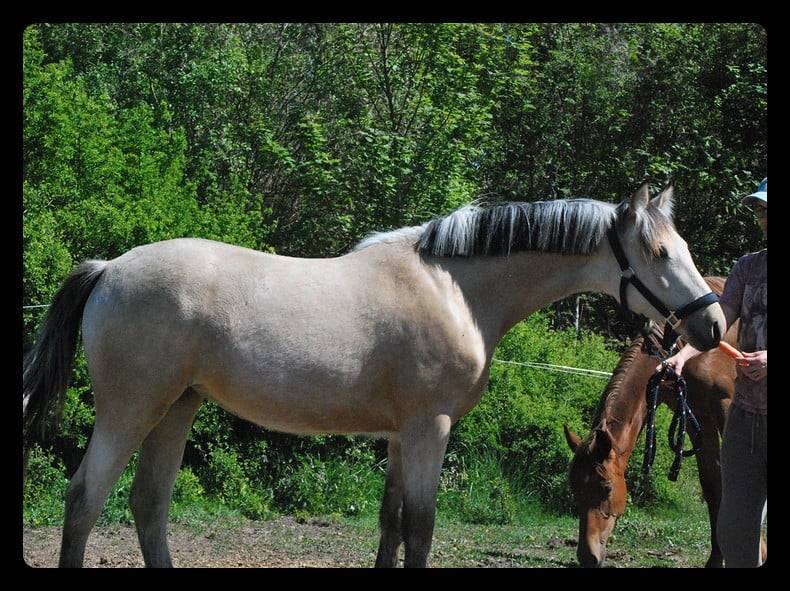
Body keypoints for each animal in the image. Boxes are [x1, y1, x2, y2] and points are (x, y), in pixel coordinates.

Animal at [23, 184, 725, 568]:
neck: (456, 289)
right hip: (131, 412)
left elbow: (389, 526)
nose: (712, 325)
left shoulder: (396, 436)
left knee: (148, 505)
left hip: (178, 408)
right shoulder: (428, 431)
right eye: (658, 252)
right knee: (84, 501)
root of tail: (109, 269)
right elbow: (420, 529)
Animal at [564, 277, 766, 567]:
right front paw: (716, 558)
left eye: (606, 488)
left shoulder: (727, 406)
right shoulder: (695, 416)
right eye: (575, 487)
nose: (587, 556)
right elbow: (713, 486)